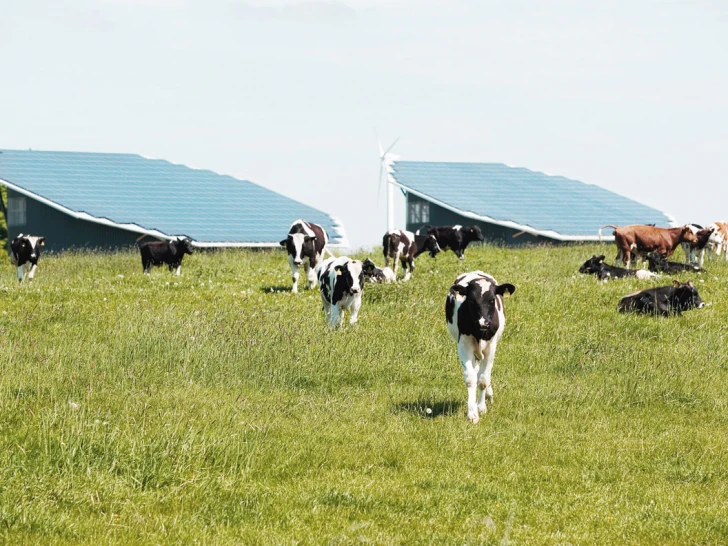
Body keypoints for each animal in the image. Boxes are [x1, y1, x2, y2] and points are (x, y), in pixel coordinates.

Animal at [446, 271, 516, 424]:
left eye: (492, 300)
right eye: (472, 300)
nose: (484, 323)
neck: (480, 331)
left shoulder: (491, 348)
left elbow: (483, 380)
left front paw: (481, 407)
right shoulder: (464, 346)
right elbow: (471, 379)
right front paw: (472, 413)